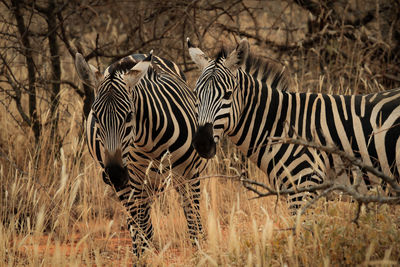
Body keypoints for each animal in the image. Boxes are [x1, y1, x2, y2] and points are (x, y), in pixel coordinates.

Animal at [74, 52, 205, 260]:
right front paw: (142, 258)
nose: (114, 174)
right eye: (95, 115)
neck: (151, 139)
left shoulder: (191, 174)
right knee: (138, 226)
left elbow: (195, 227)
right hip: (133, 185)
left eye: (129, 115)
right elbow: (142, 230)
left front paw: (200, 257)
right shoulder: (134, 178)